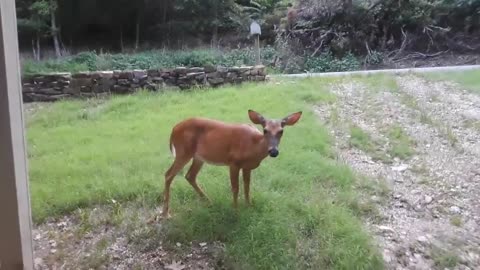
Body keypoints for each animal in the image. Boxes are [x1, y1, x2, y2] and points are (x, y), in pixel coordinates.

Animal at [163, 109, 302, 217]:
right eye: (265, 130)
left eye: (281, 131)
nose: (273, 151)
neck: (253, 146)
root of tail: (173, 129)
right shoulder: (233, 162)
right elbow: (235, 188)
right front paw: (235, 210)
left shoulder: (247, 167)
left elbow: (247, 186)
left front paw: (249, 206)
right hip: (183, 151)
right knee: (168, 174)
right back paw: (166, 212)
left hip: (199, 157)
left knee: (190, 176)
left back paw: (209, 201)